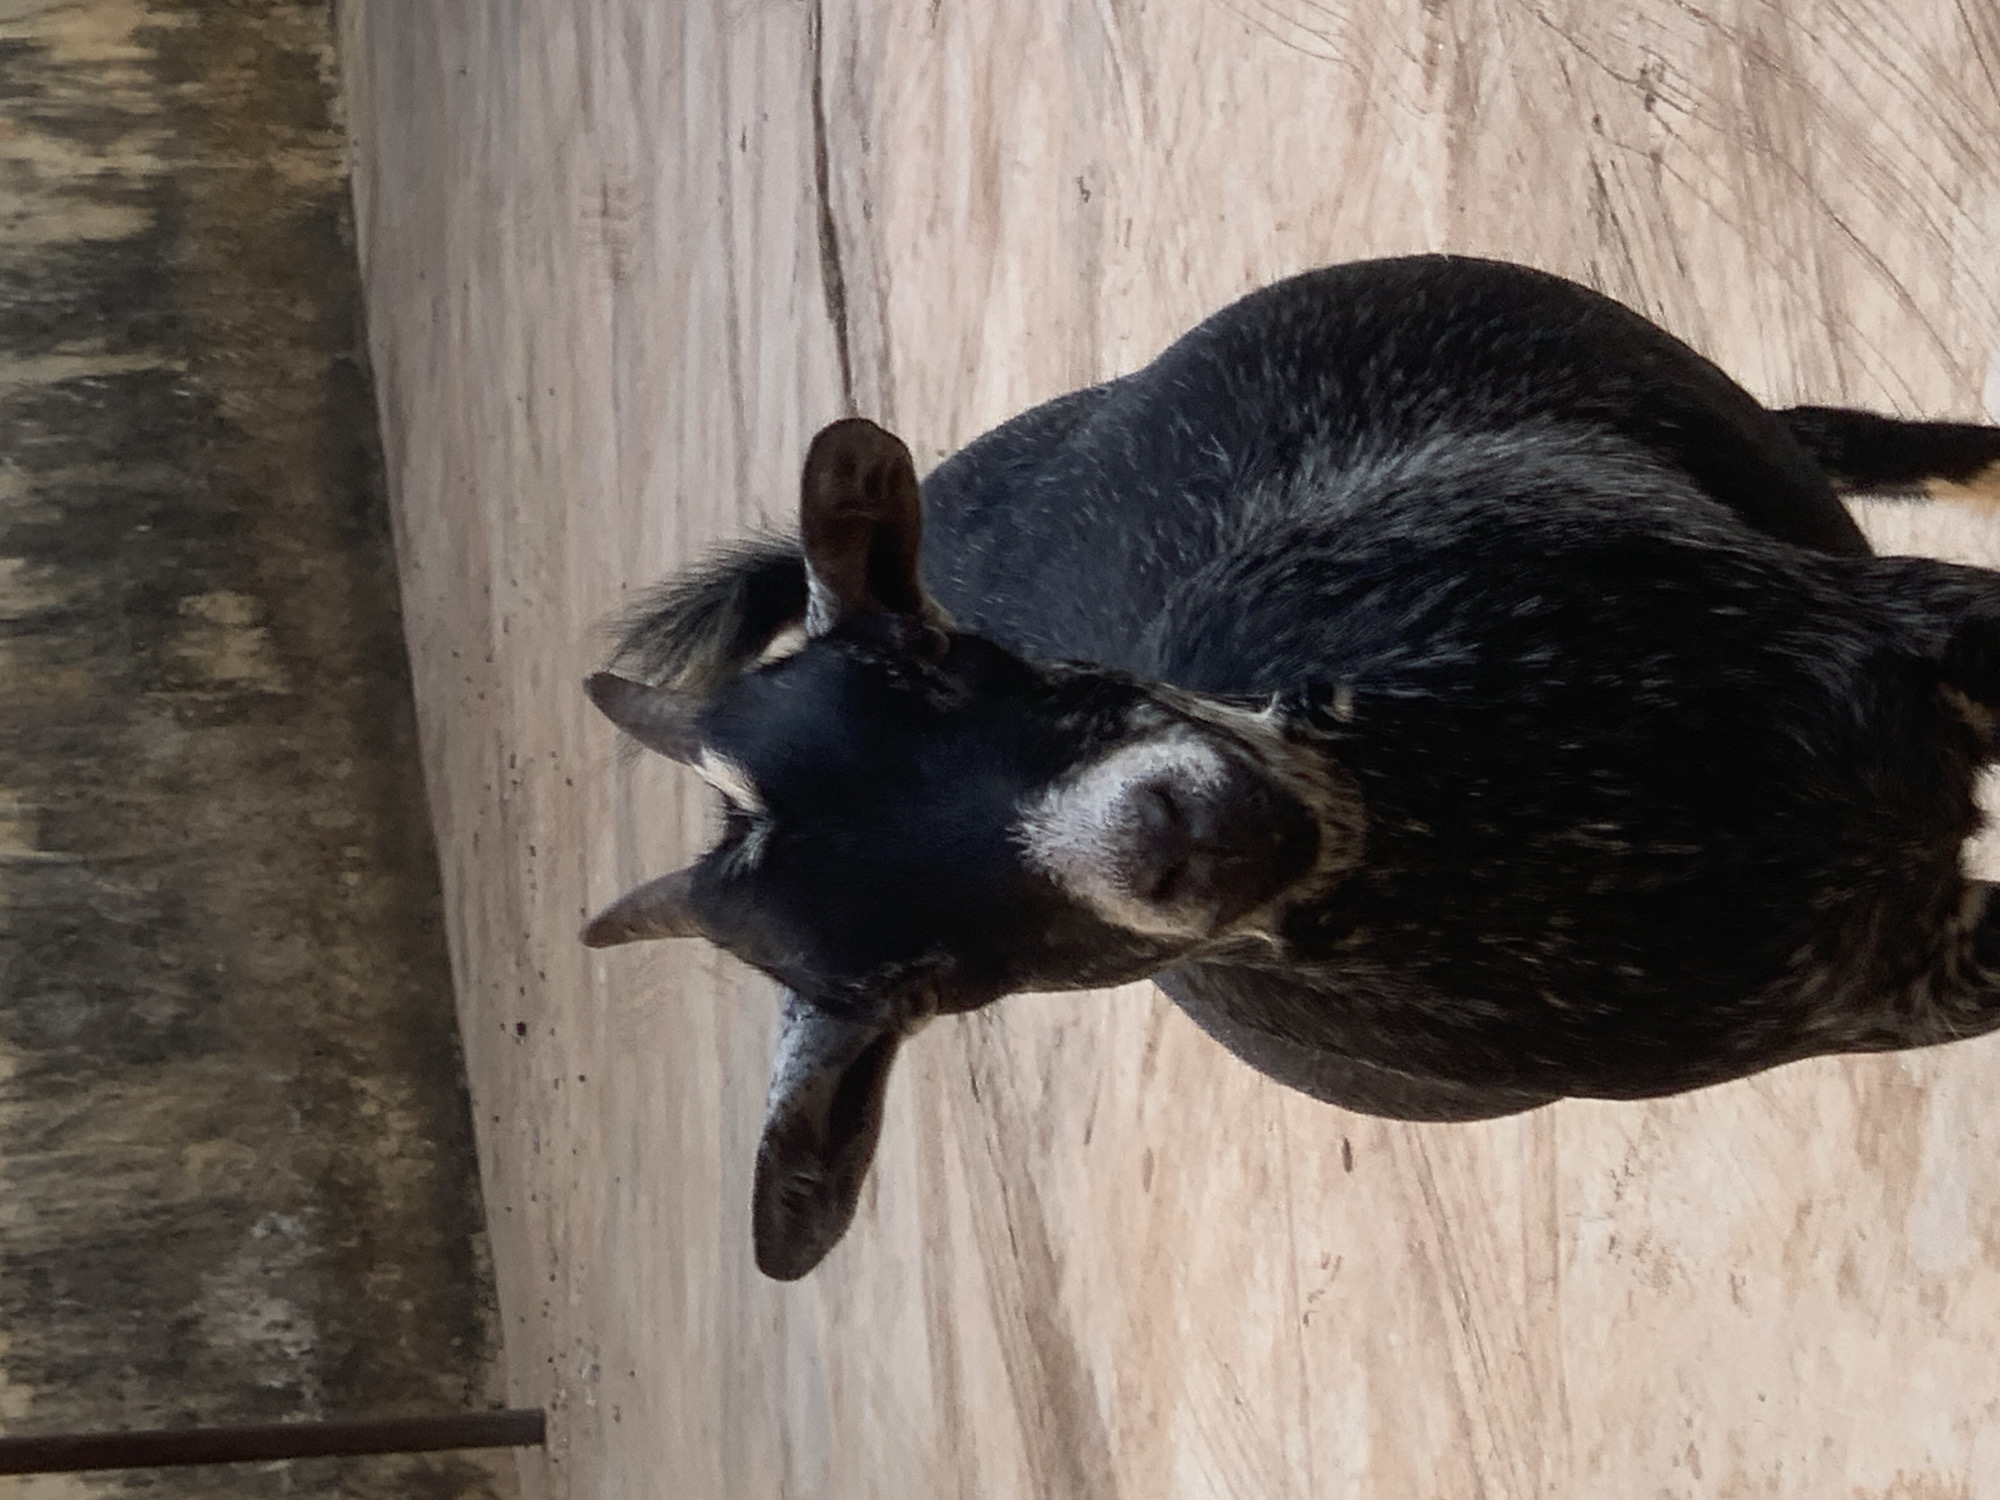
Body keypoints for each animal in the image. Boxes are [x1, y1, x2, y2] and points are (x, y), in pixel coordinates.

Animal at [581, 255, 2000, 1280]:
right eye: (925, 987)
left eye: (933, 665)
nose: (1174, 836)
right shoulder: (1891, 985)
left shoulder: (1917, 635)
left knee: (1821, 433)